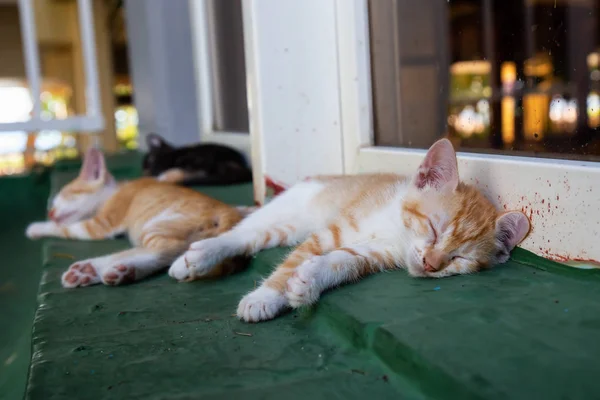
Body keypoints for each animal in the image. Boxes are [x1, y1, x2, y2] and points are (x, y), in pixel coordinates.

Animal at [26, 147, 248, 288]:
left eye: (65, 196)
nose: (51, 212)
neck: (117, 190)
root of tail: (228, 213)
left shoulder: (102, 222)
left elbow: (66, 228)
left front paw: (36, 228)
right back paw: (96, 271)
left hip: (159, 223)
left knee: (166, 250)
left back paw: (102, 270)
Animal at [169, 139, 528, 324]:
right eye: (434, 229)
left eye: (459, 259)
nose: (430, 264)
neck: (394, 228)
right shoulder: (331, 233)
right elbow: (291, 262)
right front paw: (265, 296)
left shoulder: (373, 253)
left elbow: (341, 261)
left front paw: (307, 283)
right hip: (290, 208)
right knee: (243, 233)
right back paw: (196, 256)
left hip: (289, 228)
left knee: (256, 238)